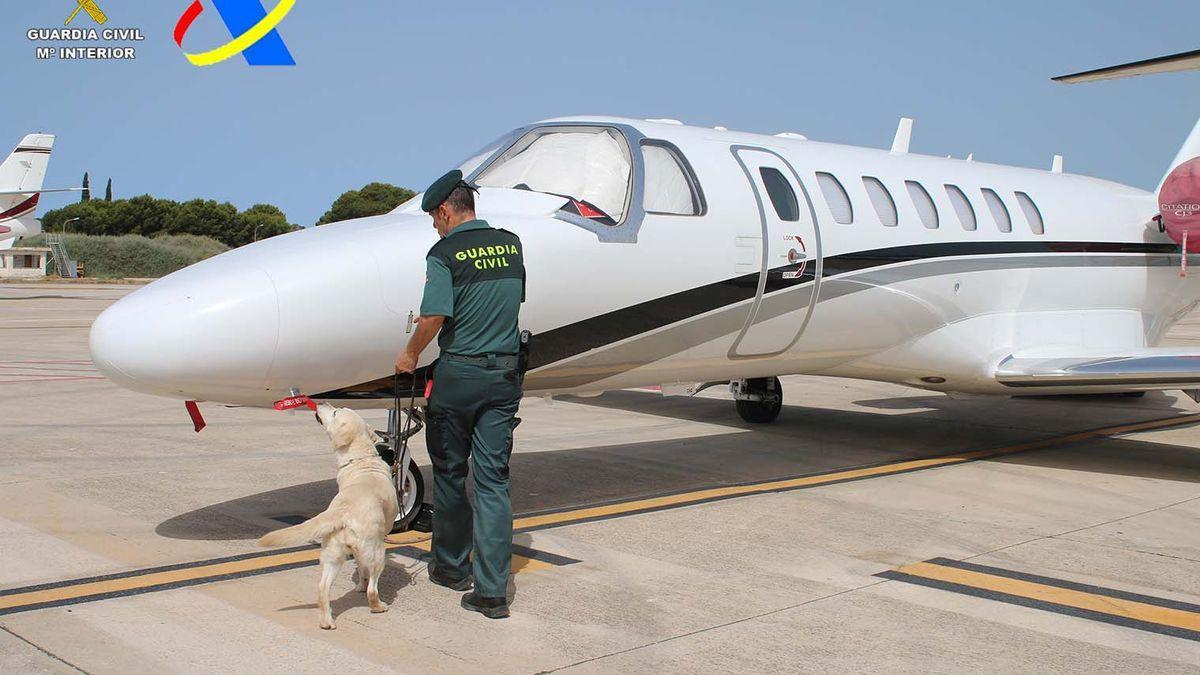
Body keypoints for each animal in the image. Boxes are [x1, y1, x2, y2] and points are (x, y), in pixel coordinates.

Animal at [258, 398, 398, 624]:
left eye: (335, 413)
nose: (322, 401)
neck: (361, 459)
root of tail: (342, 511)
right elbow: (364, 573)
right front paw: (362, 587)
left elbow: (360, 569)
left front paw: (358, 585)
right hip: (377, 553)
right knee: (372, 590)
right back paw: (378, 607)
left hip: (332, 554)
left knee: (322, 588)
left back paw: (326, 622)